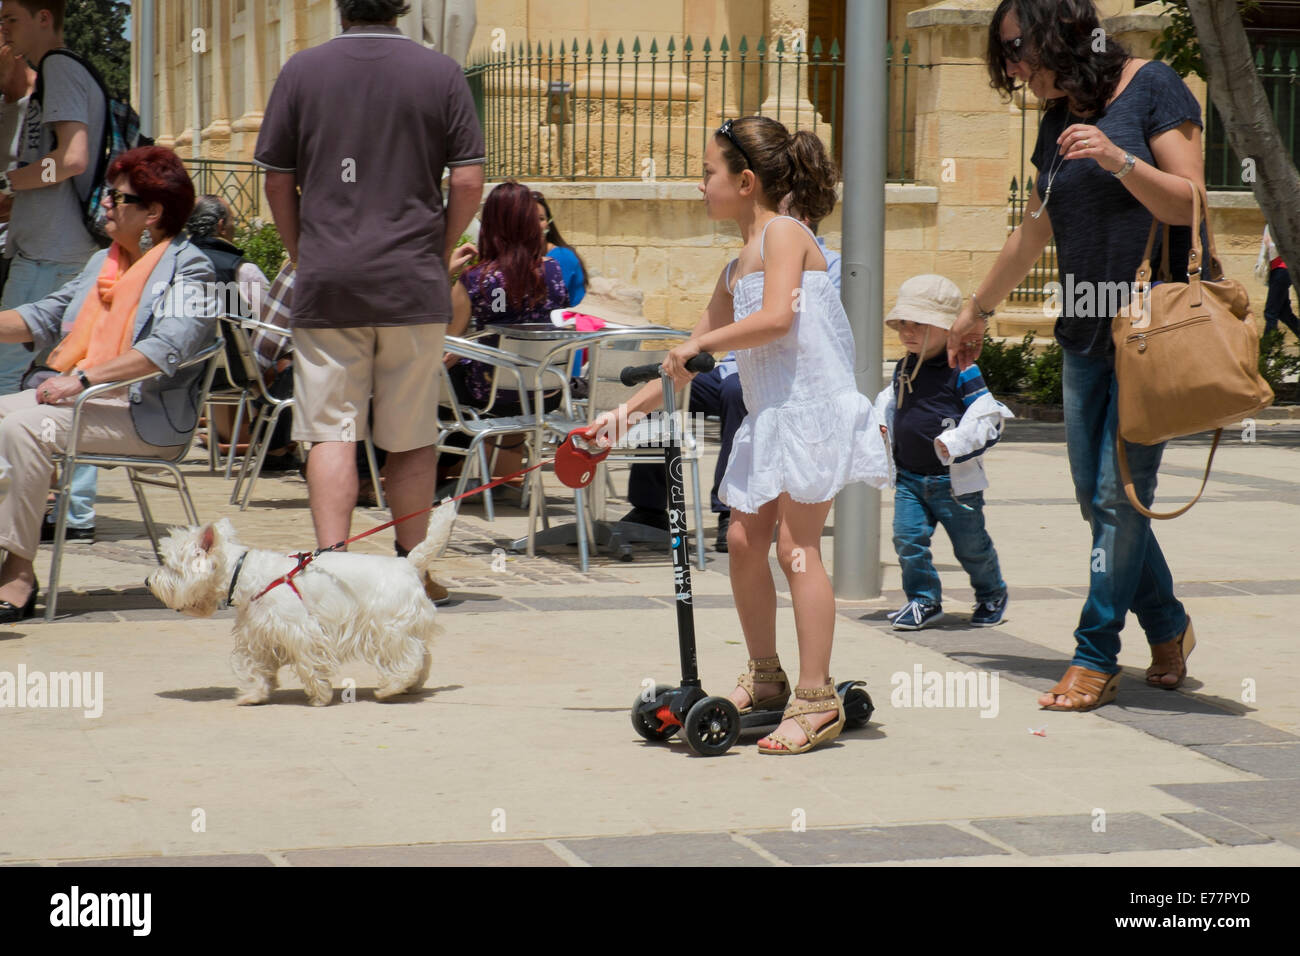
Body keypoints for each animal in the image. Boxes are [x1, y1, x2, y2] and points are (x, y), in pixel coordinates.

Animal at [147, 504, 457, 707]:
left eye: (171, 566)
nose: (148, 581)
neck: (243, 572)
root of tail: (409, 564)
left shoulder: (300, 630)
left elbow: (310, 662)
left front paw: (320, 696)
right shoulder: (258, 633)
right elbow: (254, 664)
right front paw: (253, 695)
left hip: (389, 628)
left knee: (409, 656)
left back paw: (391, 688)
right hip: (405, 626)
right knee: (422, 655)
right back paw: (411, 686)